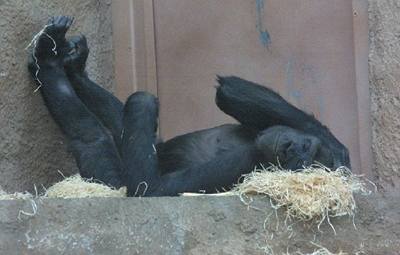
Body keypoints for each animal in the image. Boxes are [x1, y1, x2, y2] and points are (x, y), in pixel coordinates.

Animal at [27, 16, 350, 196]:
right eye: (306, 150)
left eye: (304, 164)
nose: (293, 150)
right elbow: (231, 91)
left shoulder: (246, 164)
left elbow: (153, 188)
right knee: (125, 125)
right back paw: (68, 64)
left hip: (107, 177)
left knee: (90, 137)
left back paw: (49, 64)